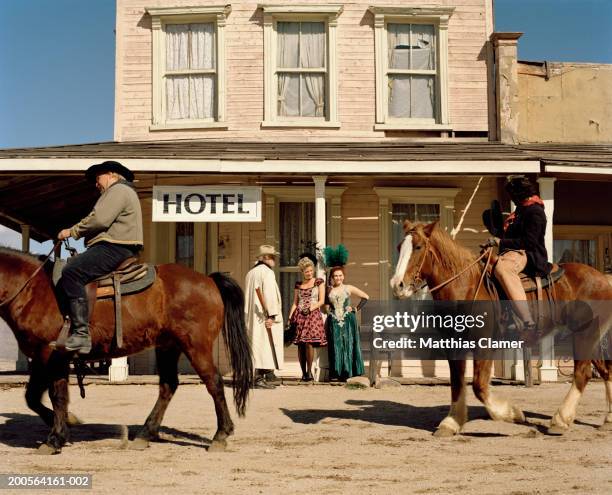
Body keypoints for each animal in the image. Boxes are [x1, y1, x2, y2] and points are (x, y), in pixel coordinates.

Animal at [0, 248, 253, 454]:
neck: (33, 290)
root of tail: (208, 280)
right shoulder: (42, 357)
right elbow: (33, 397)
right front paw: (65, 426)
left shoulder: (51, 356)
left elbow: (56, 396)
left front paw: (55, 438)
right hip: (168, 346)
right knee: (168, 386)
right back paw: (145, 435)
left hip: (195, 345)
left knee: (214, 383)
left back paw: (220, 435)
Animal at [392, 223, 612, 436]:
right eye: (399, 247)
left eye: (418, 247)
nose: (397, 285)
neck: (466, 286)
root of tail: (603, 279)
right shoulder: (453, 346)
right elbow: (457, 383)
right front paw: (451, 423)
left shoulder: (483, 345)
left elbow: (479, 386)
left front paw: (513, 414)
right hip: (591, 337)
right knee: (605, 370)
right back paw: (608, 420)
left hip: (584, 334)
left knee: (582, 373)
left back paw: (560, 421)